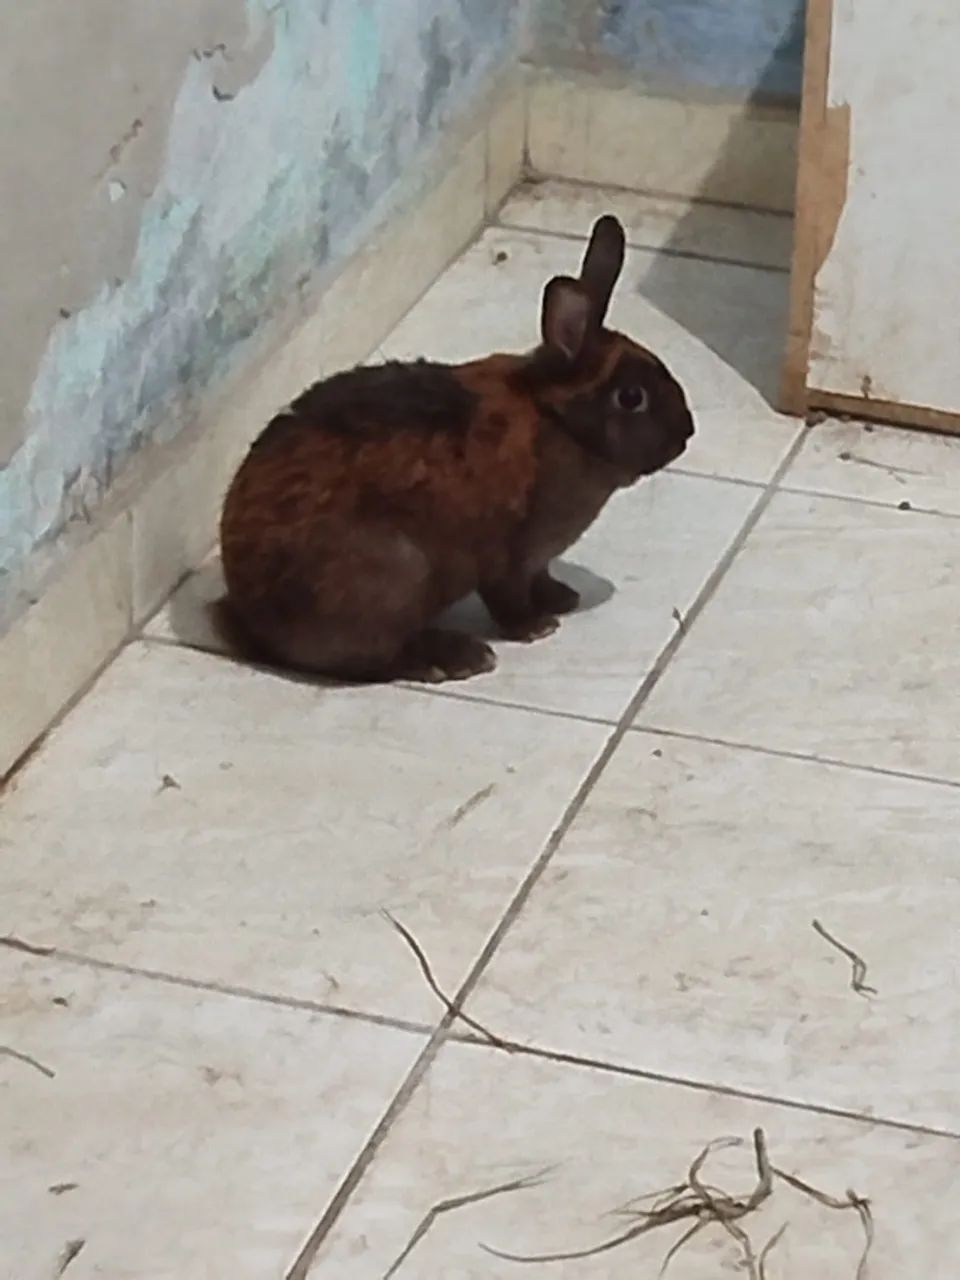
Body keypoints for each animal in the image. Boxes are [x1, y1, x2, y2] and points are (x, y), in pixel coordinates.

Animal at [218, 214, 694, 683]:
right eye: (631, 397)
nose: (687, 434)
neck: (558, 421)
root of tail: (251, 615)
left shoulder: (535, 560)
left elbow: (540, 579)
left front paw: (562, 598)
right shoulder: (507, 555)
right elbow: (508, 596)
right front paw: (536, 627)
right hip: (392, 579)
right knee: (373, 660)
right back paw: (458, 658)